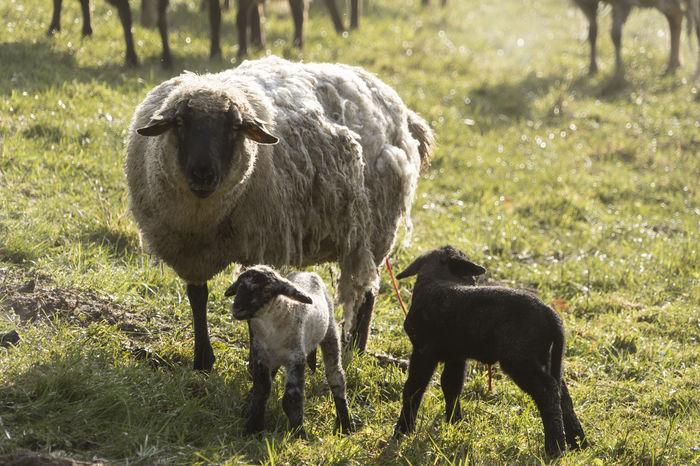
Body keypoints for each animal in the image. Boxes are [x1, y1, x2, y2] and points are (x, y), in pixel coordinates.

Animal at [125, 54, 432, 370]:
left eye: (234, 127)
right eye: (180, 123)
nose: (203, 175)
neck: (201, 220)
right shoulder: (188, 254)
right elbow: (198, 298)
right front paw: (202, 359)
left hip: (377, 229)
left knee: (367, 289)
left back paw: (356, 346)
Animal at [226, 266, 352, 436]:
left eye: (266, 289)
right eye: (239, 285)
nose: (237, 308)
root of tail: (308, 273)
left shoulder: (296, 358)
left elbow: (291, 398)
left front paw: (300, 434)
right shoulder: (261, 357)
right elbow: (262, 390)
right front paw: (254, 426)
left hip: (330, 331)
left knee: (336, 377)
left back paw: (345, 424)